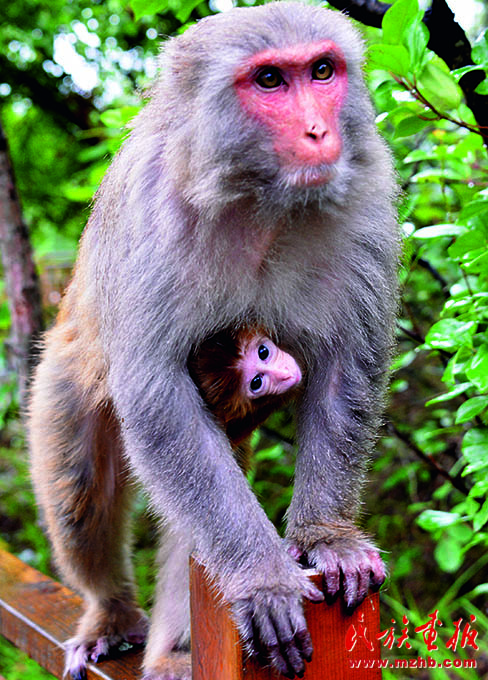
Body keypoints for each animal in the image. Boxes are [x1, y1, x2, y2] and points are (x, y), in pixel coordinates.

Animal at [28, 2, 398, 676]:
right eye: (270, 80)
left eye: (323, 70)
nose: (318, 131)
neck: (260, 198)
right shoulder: (152, 213)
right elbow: (157, 397)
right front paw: (263, 580)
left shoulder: (366, 197)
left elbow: (346, 367)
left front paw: (326, 538)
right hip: (62, 379)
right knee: (80, 491)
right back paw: (112, 614)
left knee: (189, 531)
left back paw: (172, 648)